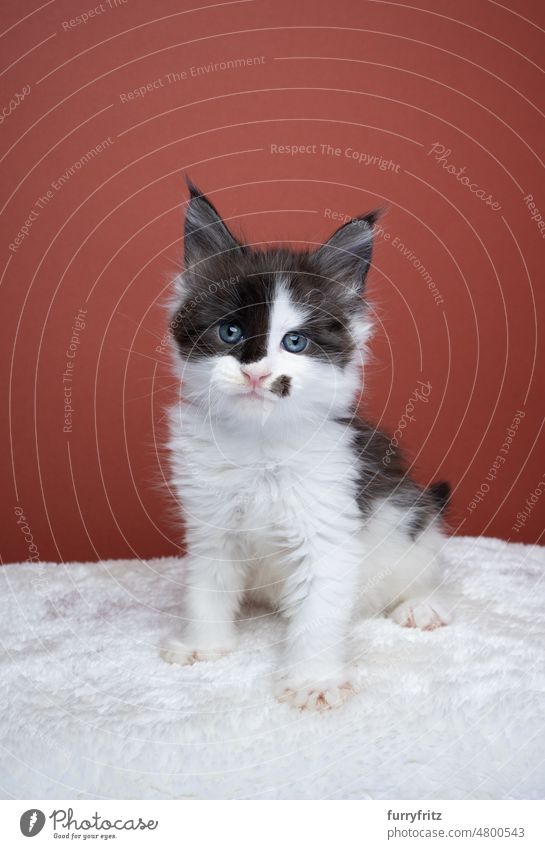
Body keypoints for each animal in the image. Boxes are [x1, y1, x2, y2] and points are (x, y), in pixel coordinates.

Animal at [162, 181, 450, 708]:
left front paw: (313, 680)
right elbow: (206, 589)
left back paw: (422, 607)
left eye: (294, 342)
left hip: (407, 518)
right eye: (230, 331)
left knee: (425, 567)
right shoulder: (212, 524)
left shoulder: (329, 526)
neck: (259, 445)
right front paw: (203, 647)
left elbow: (318, 616)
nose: (257, 373)